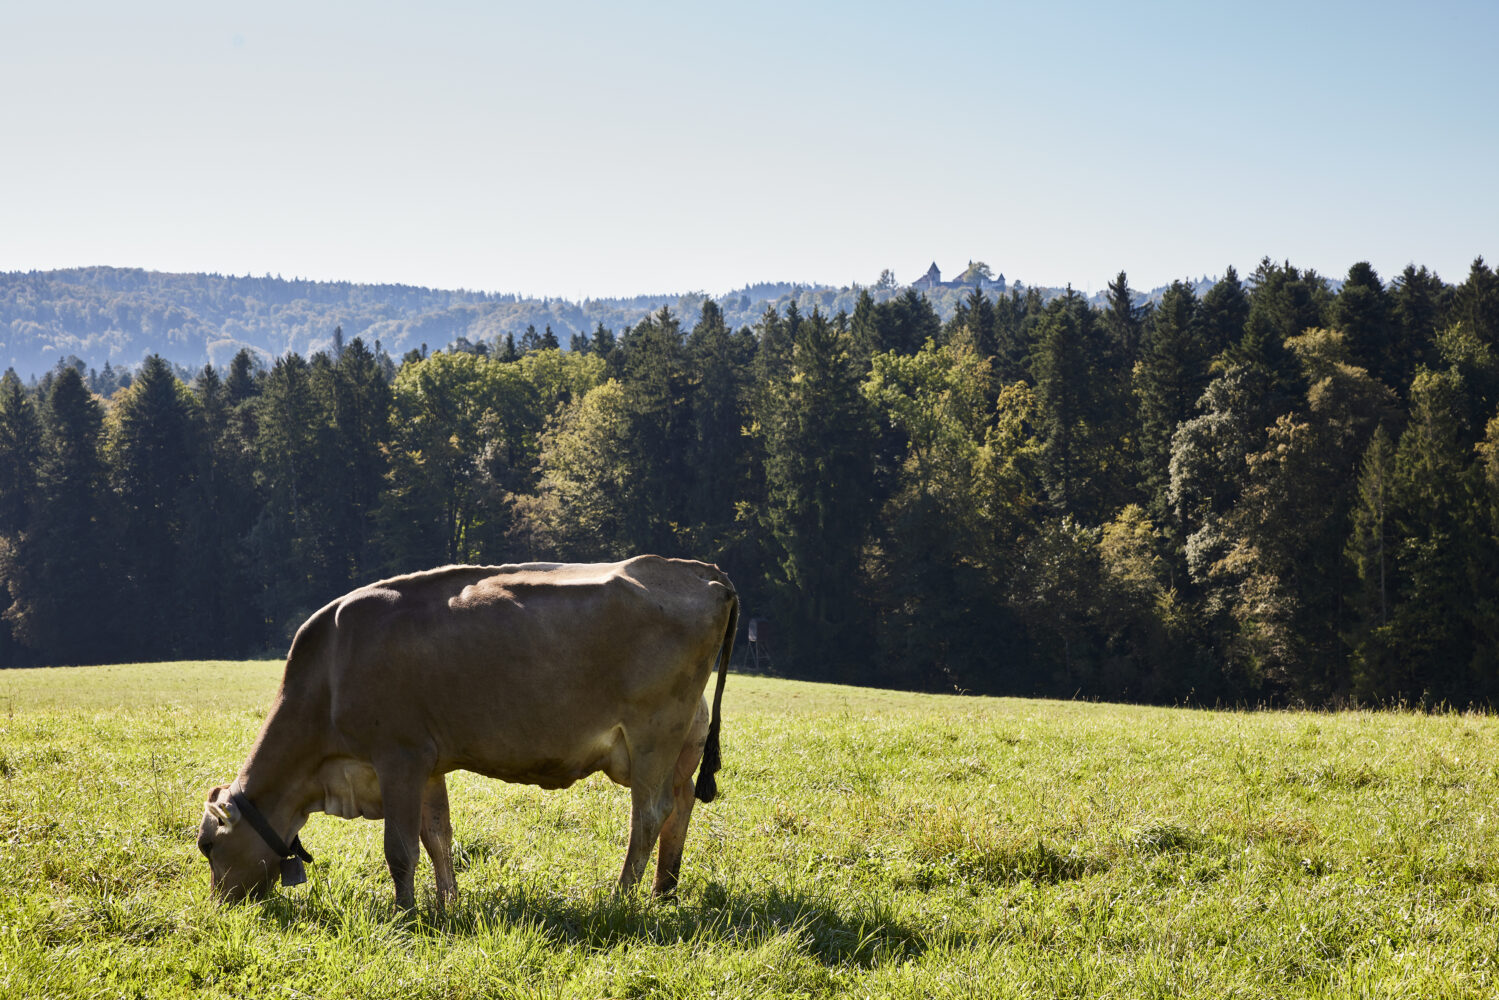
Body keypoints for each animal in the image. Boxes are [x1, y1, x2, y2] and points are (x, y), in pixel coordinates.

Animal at [199, 560, 737, 911]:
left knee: (648, 813)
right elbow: (437, 835)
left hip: (653, 733)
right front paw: (448, 905)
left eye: (207, 847)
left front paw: (406, 915)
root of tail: (699, 570)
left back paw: (621, 899)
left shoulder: (398, 756)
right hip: (677, 738)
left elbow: (400, 848)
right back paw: (664, 890)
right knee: (681, 802)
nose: (219, 906)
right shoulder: (428, 762)